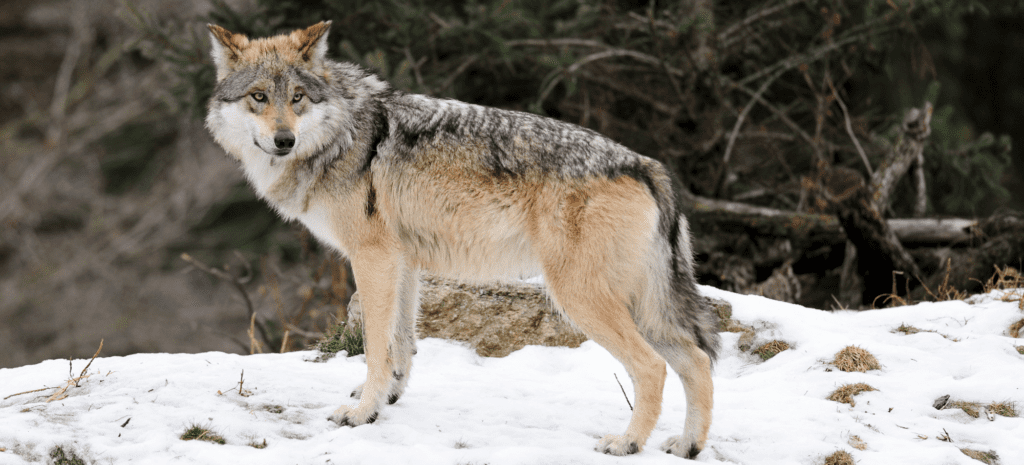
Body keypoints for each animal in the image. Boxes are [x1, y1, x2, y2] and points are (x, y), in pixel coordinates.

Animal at [205, 21, 720, 458]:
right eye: (258, 96)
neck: (343, 134)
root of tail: (647, 166)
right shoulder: (402, 262)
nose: (284, 140)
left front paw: (361, 412)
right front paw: (387, 399)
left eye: (297, 97)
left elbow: (374, 345)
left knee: (653, 367)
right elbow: (400, 342)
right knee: (697, 361)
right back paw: (688, 446)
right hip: (640, 305)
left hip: (581, 298)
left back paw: (627, 443)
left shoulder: (373, 258)